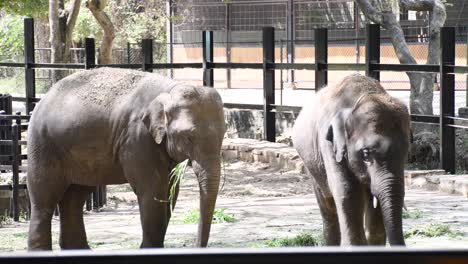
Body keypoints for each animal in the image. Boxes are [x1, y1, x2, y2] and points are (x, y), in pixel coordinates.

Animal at [26, 67, 226, 250]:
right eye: (188, 137)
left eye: (223, 134)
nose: (196, 246)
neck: (170, 89)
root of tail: (44, 97)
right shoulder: (137, 137)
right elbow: (152, 189)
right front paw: (149, 250)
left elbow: (170, 191)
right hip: (43, 143)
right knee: (44, 196)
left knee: (75, 196)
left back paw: (79, 250)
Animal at [292, 73, 410, 246]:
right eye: (366, 154)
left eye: (406, 152)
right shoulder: (329, 145)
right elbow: (348, 192)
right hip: (311, 164)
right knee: (327, 203)